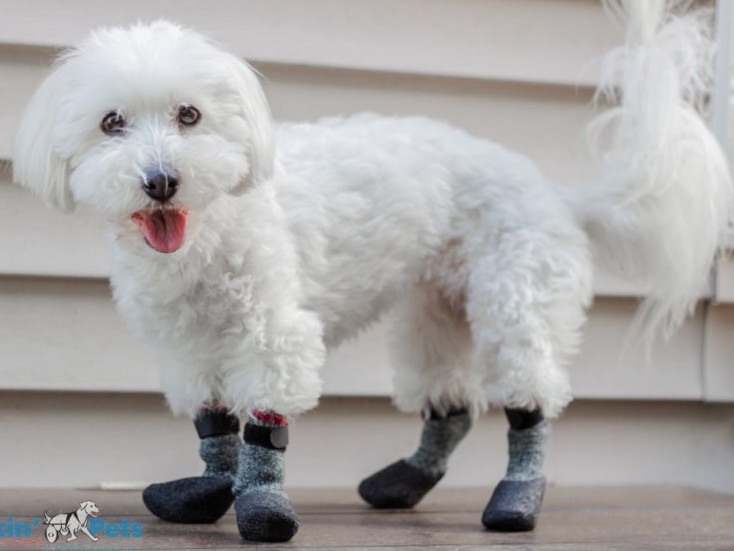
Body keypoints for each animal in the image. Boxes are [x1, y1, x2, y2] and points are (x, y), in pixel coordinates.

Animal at [12, 0, 734, 544]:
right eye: (111, 122)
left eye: (189, 115)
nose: (161, 179)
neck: (208, 232)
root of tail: (558, 195)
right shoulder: (189, 350)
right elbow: (214, 428)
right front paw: (207, 491)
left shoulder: (275, 335)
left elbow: (263, 424)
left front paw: (263, 507)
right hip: (434, 312)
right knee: (451, 407)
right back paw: (402, 482)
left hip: (517, 296)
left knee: (529, 403)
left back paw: (515, 500)